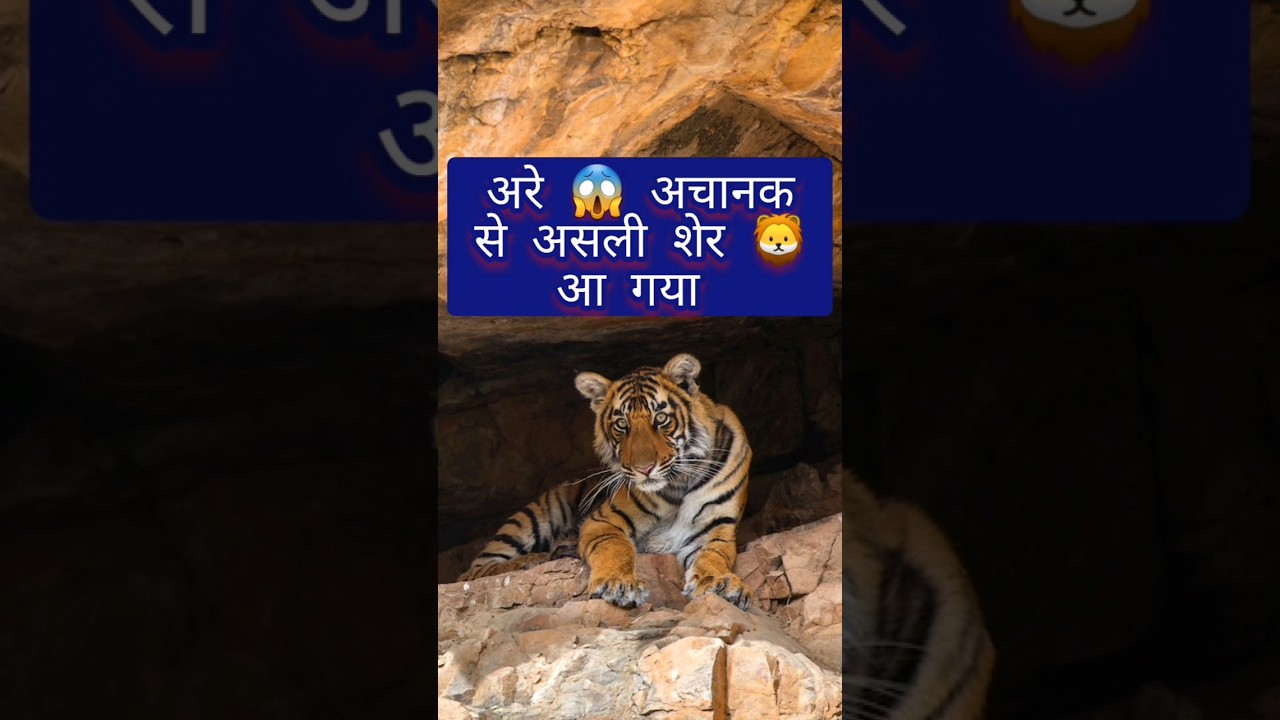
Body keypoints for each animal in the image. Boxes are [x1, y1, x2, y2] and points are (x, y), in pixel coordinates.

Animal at [458, 353, 754, 610]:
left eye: (660, 418)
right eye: (622, 424)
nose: (644, 469)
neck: (678, 483)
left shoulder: (715, 527)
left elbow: (714, 557)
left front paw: (719, 584)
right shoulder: (604, 520)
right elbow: (615, 548)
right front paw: (618, 583)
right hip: (532, 519)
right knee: (475, 571)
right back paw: (535, 560)